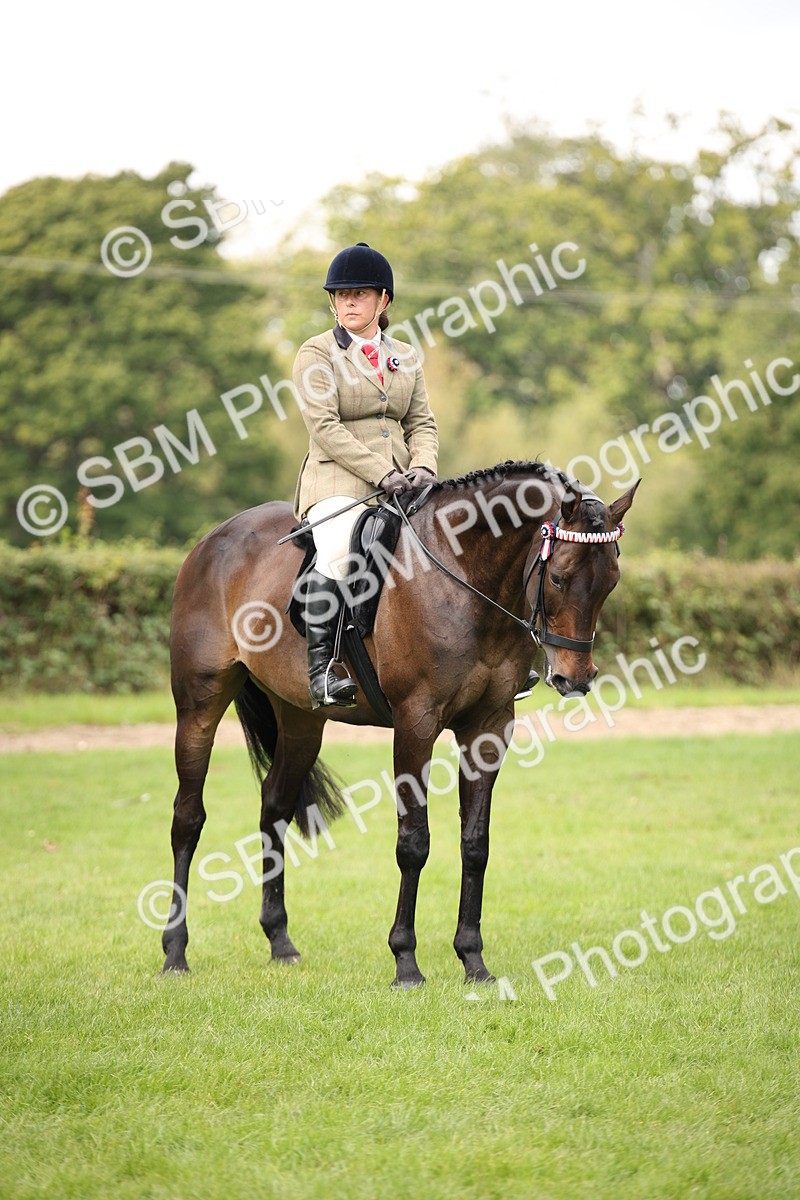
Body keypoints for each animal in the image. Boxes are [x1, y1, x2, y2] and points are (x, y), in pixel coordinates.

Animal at [162, 459, 639, 987]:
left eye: (611, 580)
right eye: (557, 577)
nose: (575, 679)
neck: (464, 575)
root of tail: (212, 539)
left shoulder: (489, 726)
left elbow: (475, 844)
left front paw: (473, 960)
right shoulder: (416, 722)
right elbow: (414, 843)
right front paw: (406, 962)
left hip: (301, 720)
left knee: (274, 807)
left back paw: (280, 941)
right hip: (199, 704)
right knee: (188, 818)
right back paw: (175, 952)